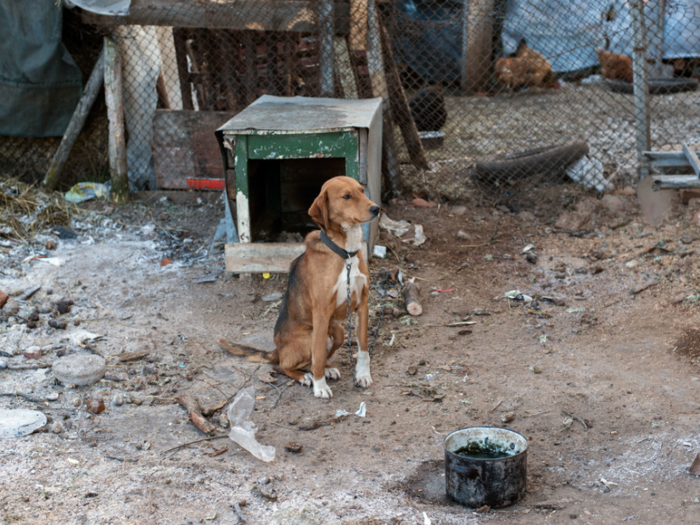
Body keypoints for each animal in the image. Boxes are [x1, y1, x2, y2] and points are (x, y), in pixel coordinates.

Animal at [223, 176, 378, 398]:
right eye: (347, 196)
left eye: (362, 191)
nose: (377, 209)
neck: (345, 253)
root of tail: (277, 349)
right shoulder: (321, 312)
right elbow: (319, 354)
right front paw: (320, 387)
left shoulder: (362, 304)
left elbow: (363, 347)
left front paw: (363, 375)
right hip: (309, 336)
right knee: (283, 365)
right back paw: (307, 377)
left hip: (338, 331)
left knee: (314, 358)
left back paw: (326, 370)